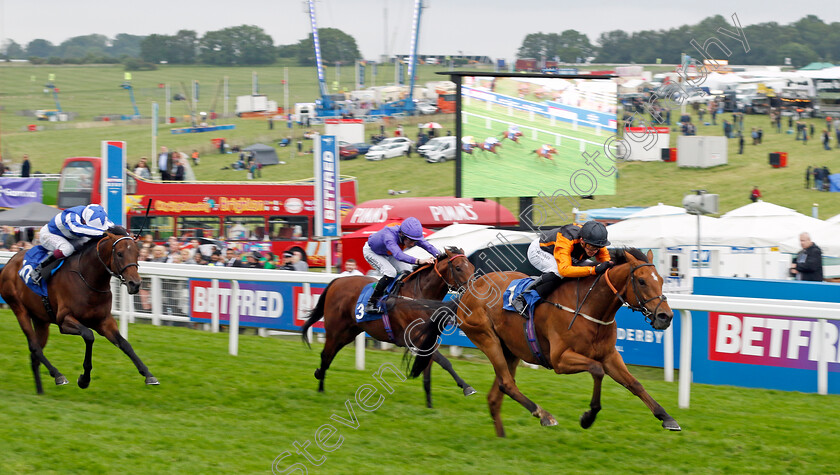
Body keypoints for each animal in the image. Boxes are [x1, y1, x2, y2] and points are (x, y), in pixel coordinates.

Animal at [0, 227, 159, 394]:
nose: (135, 284)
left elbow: (125, 344)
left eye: (137, 253)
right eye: (120, 253)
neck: (88, 279)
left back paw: (40, 391)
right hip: (19, 309)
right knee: (35, 347)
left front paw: (148, 375)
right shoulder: (64, 321)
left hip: (41, 320)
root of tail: (9, 262)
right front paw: (84, 379)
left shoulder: (104, 321)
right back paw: (58, 375)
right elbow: (89, 336)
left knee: (34, 355)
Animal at [302, 247, 476, 408]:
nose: (472, 290)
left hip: (349, 332)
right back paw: (320, 386)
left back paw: (319, 376)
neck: (419, 298)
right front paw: (467, 387)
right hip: (335, 330)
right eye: (458, 268)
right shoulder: (415, 339)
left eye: (473, 267)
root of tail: (336, 281)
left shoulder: (429, 339)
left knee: (330, 355)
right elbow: (445, 362)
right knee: (326, 355)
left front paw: (430, 406)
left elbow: (429, 373)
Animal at [450, 249, 680, 438]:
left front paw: (667, 418)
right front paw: (588, 417)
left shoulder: (610, 356)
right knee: (506, 383)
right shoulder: (560, 360)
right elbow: (597, 370)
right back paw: (544, 415)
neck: (590, 308)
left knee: (495, 395)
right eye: (641, 281)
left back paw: (502, 437)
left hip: (511, 350)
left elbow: (635, 383)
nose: (665, 316)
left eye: (661, 280)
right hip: (487, 339)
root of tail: (469, 290)